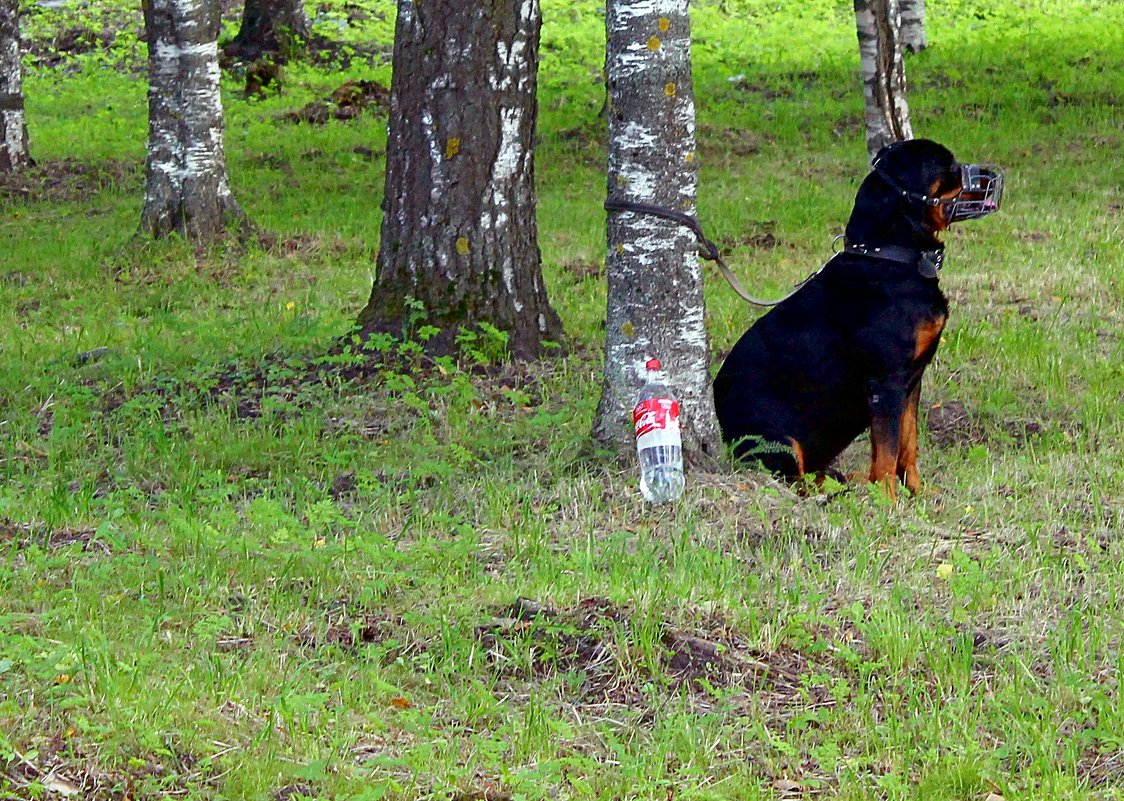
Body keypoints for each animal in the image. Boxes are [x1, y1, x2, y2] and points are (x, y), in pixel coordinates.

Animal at [710, 140, 1002, 496]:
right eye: (948, 166)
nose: (991, 174)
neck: (890, 257)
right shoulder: (885, 383)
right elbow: (888, 451)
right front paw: (888, 500)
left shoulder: (911, 381)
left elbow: (907, 443)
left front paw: (916, 492)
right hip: (778, 441)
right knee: (793, 481)